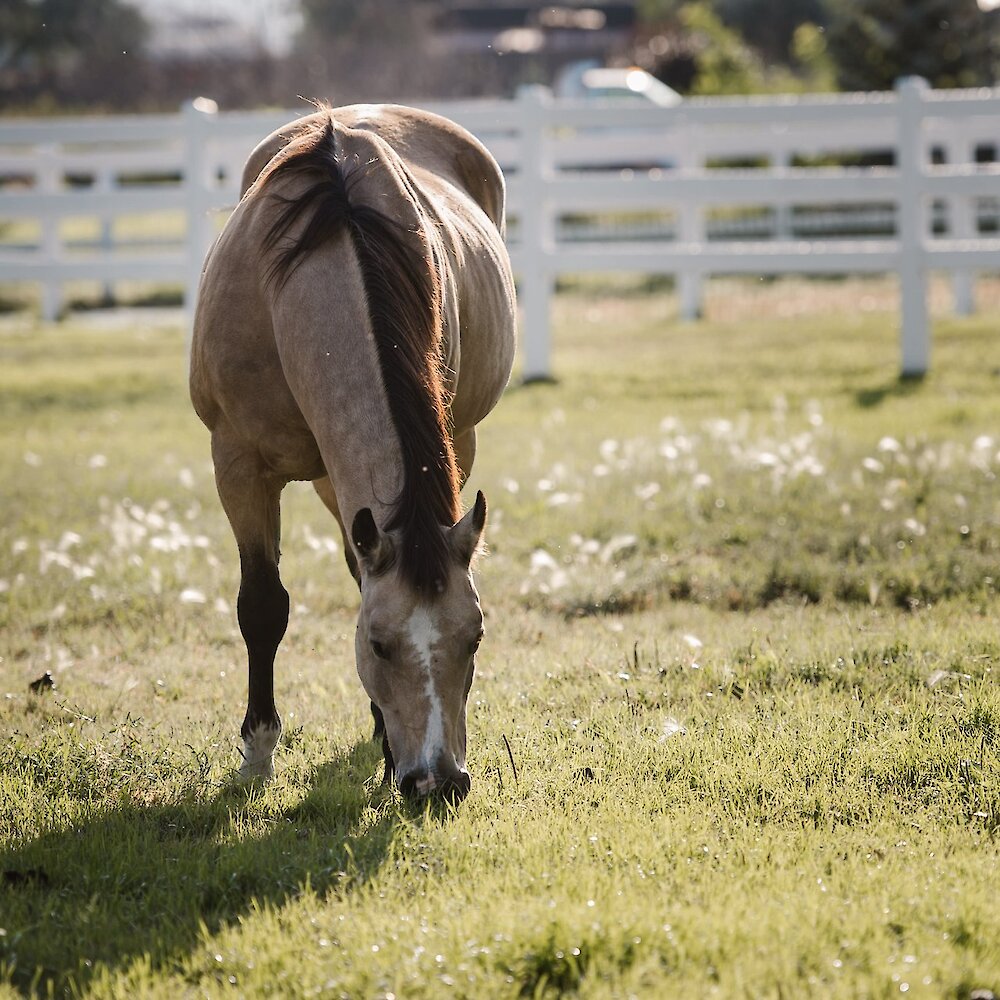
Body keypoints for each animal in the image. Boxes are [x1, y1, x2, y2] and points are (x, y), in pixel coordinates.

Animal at [188, 103, 516, 804]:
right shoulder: (237, 466)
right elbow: (262, 605)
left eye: (475, 638)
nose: (438, 780)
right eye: (378, 643)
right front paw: (258, 752)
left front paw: (387, 748)